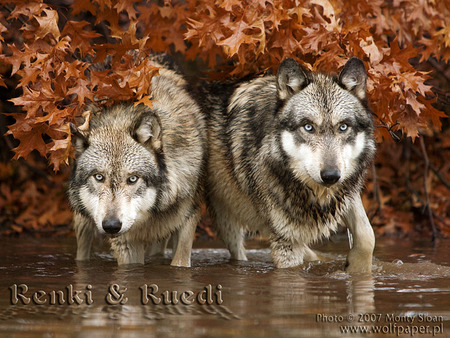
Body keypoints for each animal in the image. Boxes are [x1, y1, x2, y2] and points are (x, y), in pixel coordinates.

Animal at [68, 58, 206, 270]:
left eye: (133, 179)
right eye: (99, 177)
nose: (111, 225)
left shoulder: (188, 218)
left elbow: (180, 262)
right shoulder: (125, 242)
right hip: (83, 222)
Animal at [204, 57, 376, 272]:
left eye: (343, 127)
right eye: (308, 127)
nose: (330, 175)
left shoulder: (345, 190)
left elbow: (367, 235)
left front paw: (356, 267)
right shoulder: (287, 242)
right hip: (224, 220)